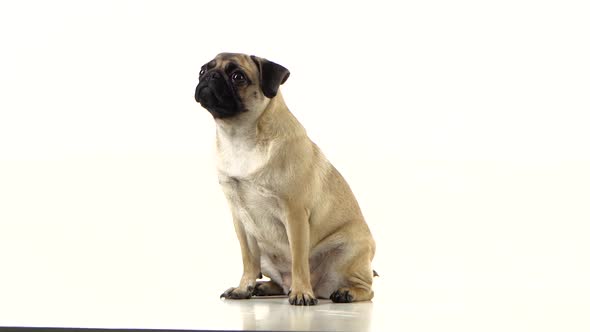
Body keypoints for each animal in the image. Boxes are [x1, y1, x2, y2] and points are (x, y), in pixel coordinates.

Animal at [197, 53, 376, 304]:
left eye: (238, 77)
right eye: (203, 71)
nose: (210, 76)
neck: (241, 136)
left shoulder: (295, 213)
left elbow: (299, 260)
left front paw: (301, 293)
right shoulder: (241, 221)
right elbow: (248, 261)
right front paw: (243, 288)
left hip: (348, 252)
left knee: (367, 289)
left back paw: (344, 292)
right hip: (264, 253)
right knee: (276, 281)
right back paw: (264, 286)